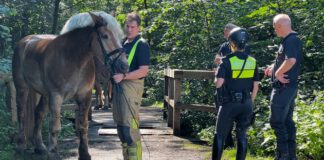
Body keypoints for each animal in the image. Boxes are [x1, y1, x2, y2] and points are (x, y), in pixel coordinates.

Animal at [11, 11, 128, 160]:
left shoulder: (85, 96)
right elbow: (55, 127)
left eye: (120, 36)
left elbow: (83, 126)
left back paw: (40, 147)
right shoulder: (56, 96)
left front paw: (84, 153)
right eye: (105, 36)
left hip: (43, 94)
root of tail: (25, 41)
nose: (124, 66)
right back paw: (20, 146)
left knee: (38, 113)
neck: (73, 60)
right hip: (22, 87)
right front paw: (53, 153)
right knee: (21, 114)